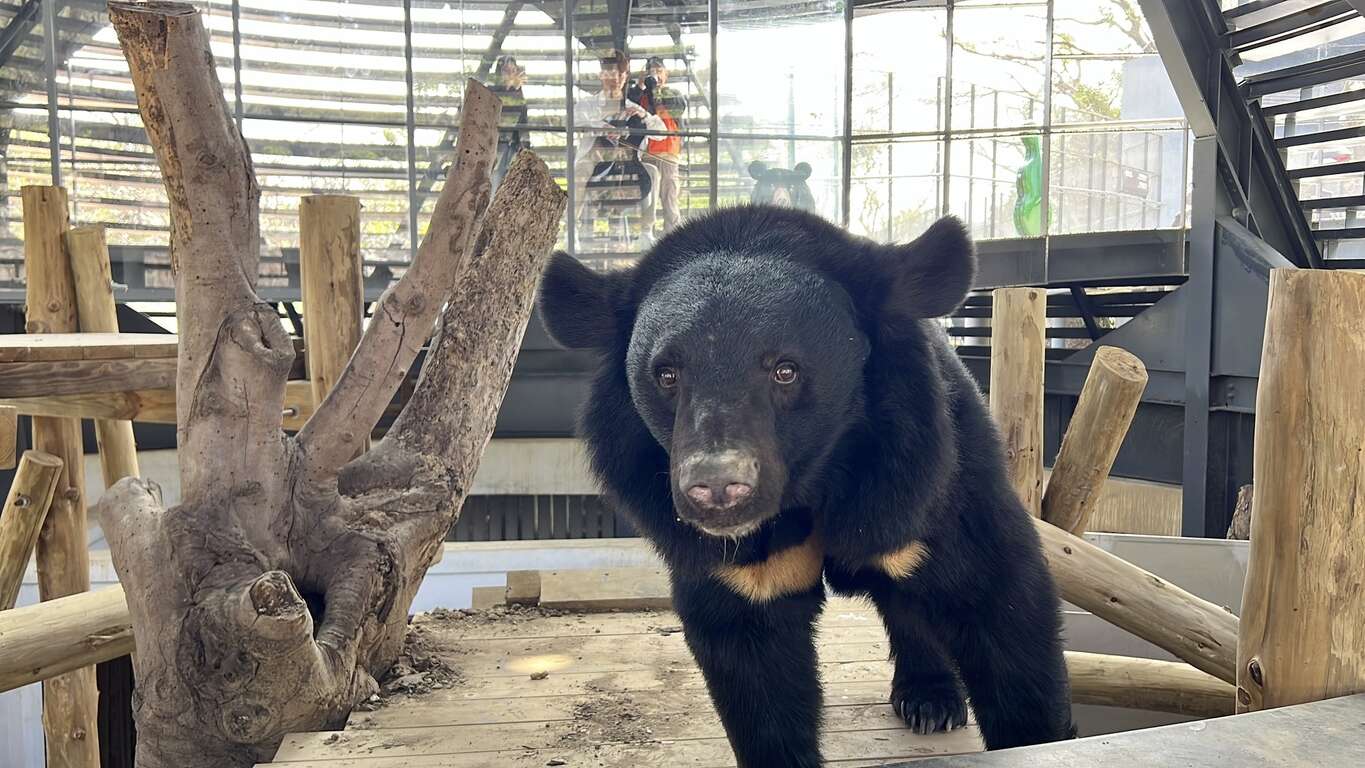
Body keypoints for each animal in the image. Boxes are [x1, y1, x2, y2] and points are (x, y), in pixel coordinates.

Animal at [537, 204, 1074, 767]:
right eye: (666, 374)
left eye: (785, 370)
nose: (717, 489)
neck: (811, 482)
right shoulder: (741, 568)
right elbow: (756, 667)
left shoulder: (923, 476)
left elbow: (1000, 604)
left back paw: (931, 700)